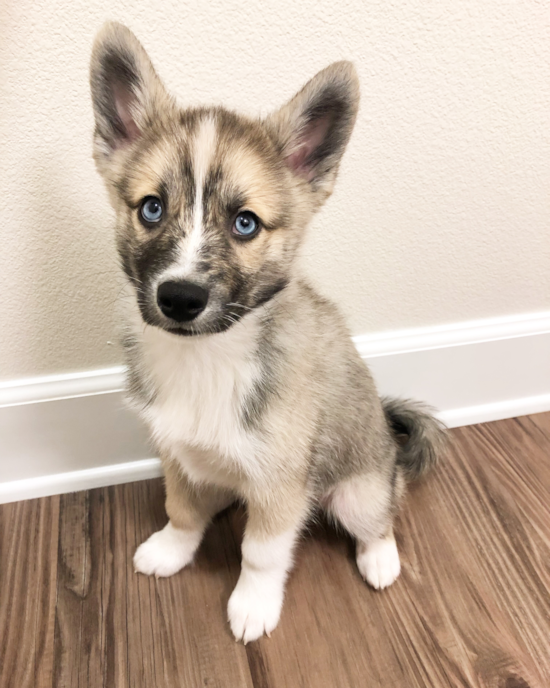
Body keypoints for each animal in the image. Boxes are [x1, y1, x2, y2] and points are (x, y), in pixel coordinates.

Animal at [89, 22, 448, 644]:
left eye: (245, 223)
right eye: (152, 208)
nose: (179, 298)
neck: (207, 356)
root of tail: (390, 454)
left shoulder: (281, 487)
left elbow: (260, 552)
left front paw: (253, 606)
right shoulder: (176, 454)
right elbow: (181, 510)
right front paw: (172, 551)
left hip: (357, 489)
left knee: (380, 518)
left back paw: (380, 559)